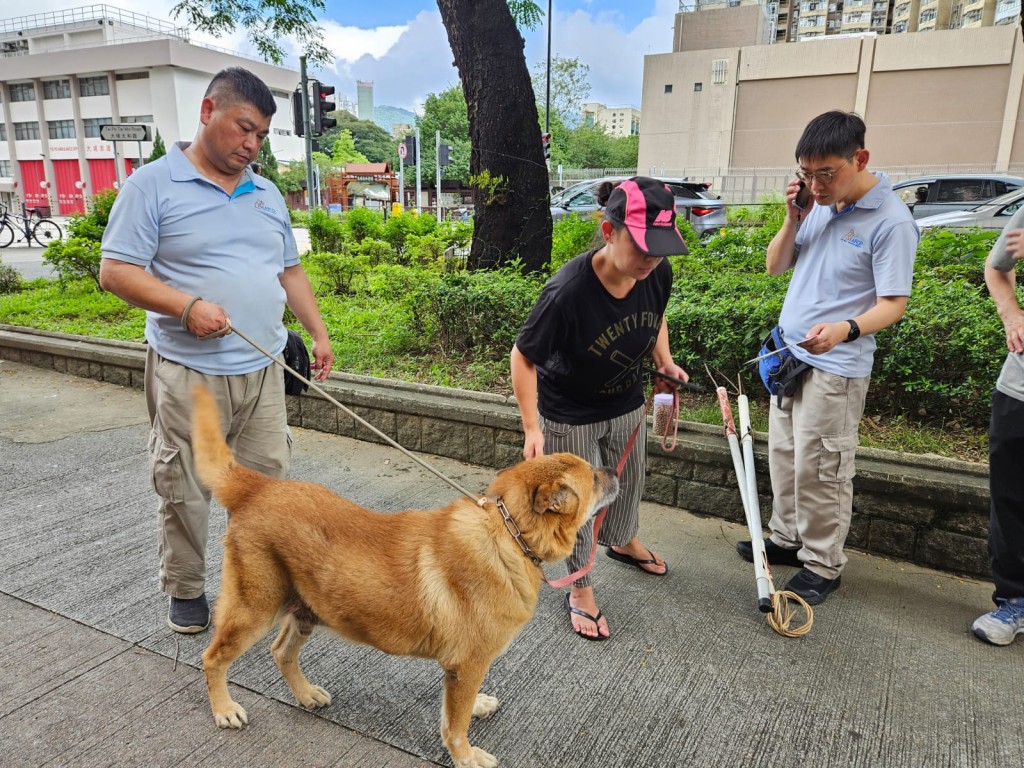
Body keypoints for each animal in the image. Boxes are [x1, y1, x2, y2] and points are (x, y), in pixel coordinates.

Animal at [189, 385, 618, 768]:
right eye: (593, 478)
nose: (615, 469)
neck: (508, 533)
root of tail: (259, 487)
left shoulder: (459, 670)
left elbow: (454, 712)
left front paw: (475, 709)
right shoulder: (469, 664)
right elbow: (456, 727)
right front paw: (465, 757)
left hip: (305, 610)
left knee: (281, 652)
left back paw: (306, 693)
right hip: (254, 609)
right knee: (212, 658)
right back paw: (223, 708)